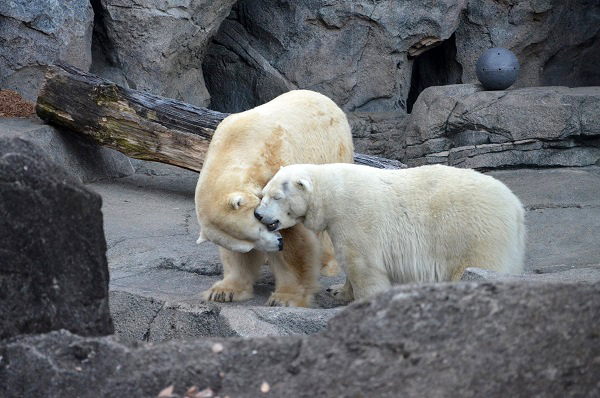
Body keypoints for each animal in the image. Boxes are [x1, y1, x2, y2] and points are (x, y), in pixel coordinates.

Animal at [195, 90, 354, 306]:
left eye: (262, 224)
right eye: (247, 245)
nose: (278, 244)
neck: (236, 146)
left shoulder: (278, 173)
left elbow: (294, 239)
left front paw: (285, 298)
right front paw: (223, 291)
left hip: (334, 149)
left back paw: (327, 264)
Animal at [255, 163, 528, 300]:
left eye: (276, 196)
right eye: (263, 192)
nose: (258, 214)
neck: (333, 191)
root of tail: (516, 207)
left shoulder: (354, 218)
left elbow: (363, 265)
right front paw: (338, 291)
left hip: (476, 234)